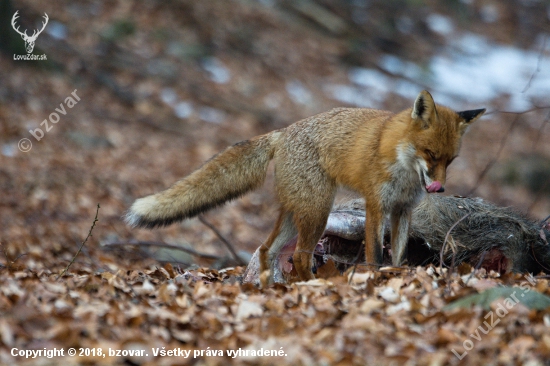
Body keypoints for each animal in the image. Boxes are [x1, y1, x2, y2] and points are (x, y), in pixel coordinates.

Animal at [126, 91, 488, 284]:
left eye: (451, 160)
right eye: (430, 154)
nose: (439, 188)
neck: (401, 163)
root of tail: (282, 133)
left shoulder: (402, 209)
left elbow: (398, 254)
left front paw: (396, 276)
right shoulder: (376, 205)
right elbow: (374, 253)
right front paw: (373, 280)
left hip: (297, 212)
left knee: (266, 250)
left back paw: (269, 290)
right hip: (318, 211)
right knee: (299, 256)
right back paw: (311, 284)